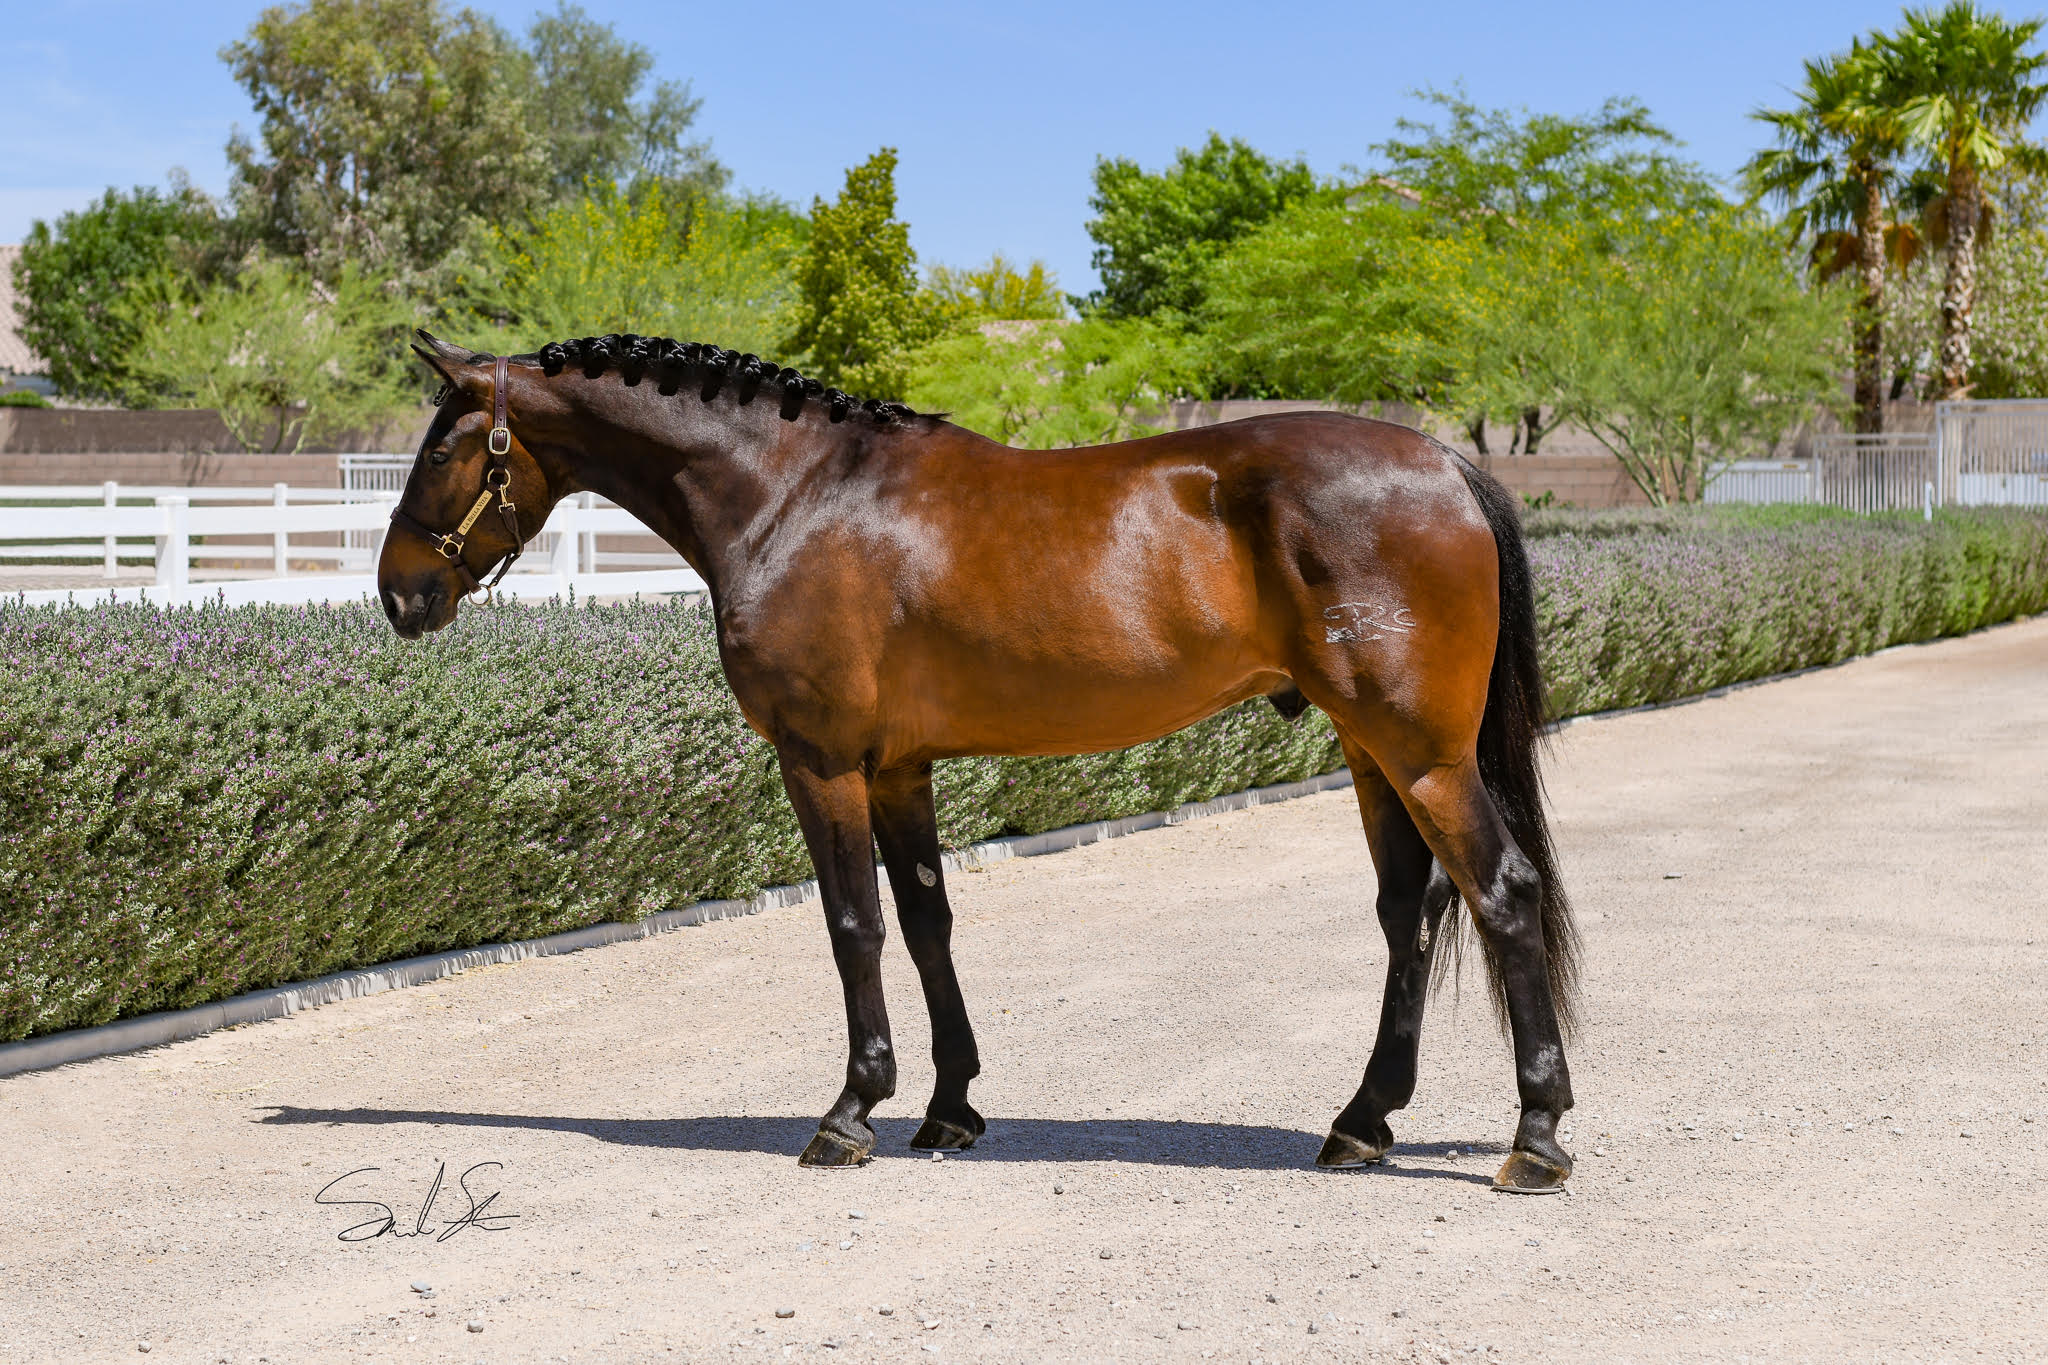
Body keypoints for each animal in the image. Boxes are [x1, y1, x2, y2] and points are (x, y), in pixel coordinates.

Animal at [376, 333, 1572, 1195]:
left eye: (438, 449)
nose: (398, 594)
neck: (792, 496)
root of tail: (1446, 463)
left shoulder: (822, 762)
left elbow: (851, 924)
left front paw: (850, 1112)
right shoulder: (900, 769)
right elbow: (924, 921)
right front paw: (949, 1108)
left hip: (1421, 756)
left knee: (1502, 894)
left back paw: (1536, 1137)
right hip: (1373, 754)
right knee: (1410, 910)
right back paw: (1361, 1121)